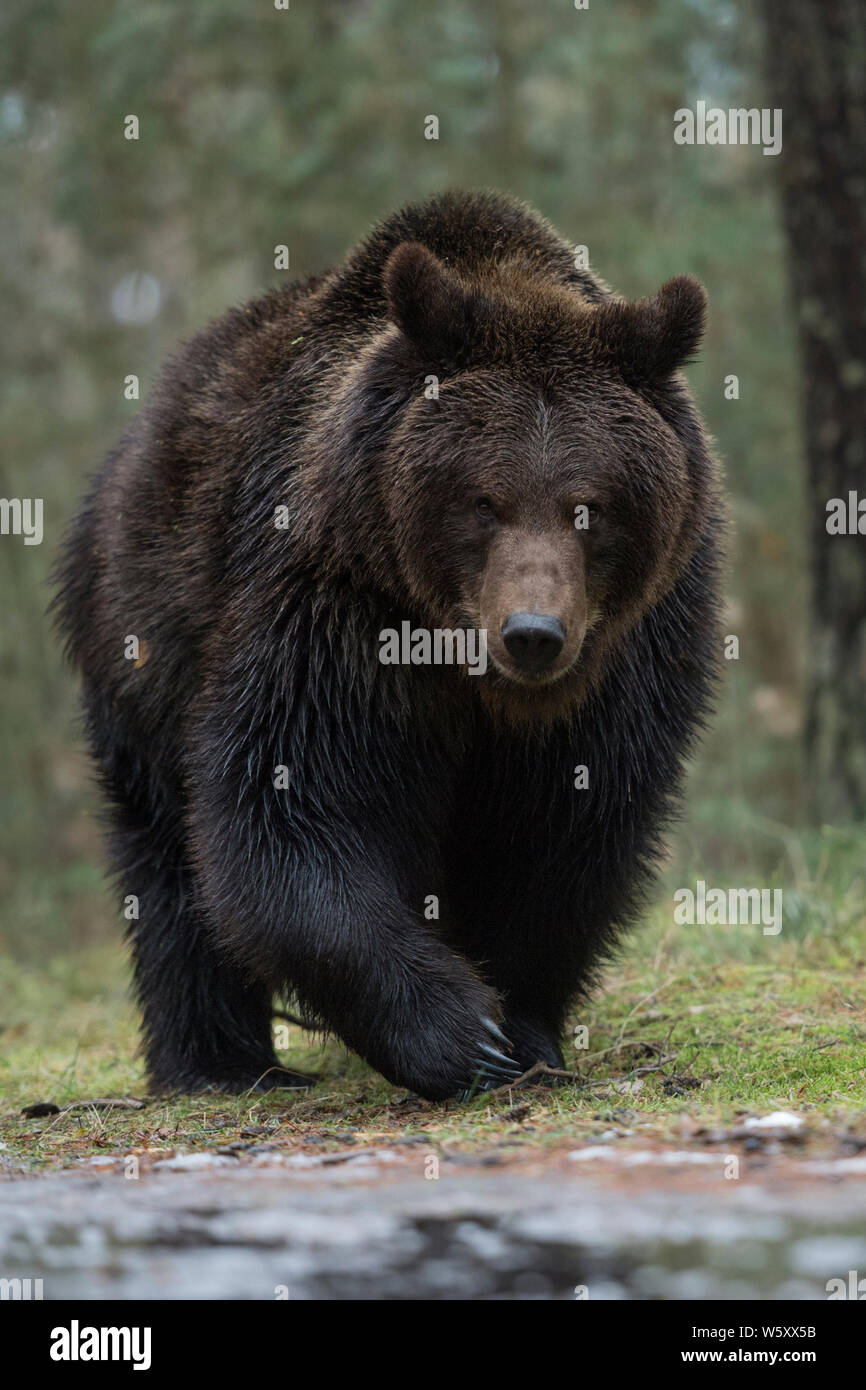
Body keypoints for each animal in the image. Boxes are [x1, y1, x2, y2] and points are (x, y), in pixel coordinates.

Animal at [55, 190, 722, 1095]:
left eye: (592, 506)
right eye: (484, 500)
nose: (534, 634)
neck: (466, 669)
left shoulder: (629, 654)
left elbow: (564, 832)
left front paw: (522, 1029)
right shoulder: (335, 606)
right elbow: (291, 804)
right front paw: (460, 1032)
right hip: (142, 634)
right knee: (165, 851)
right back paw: (219, 1063)